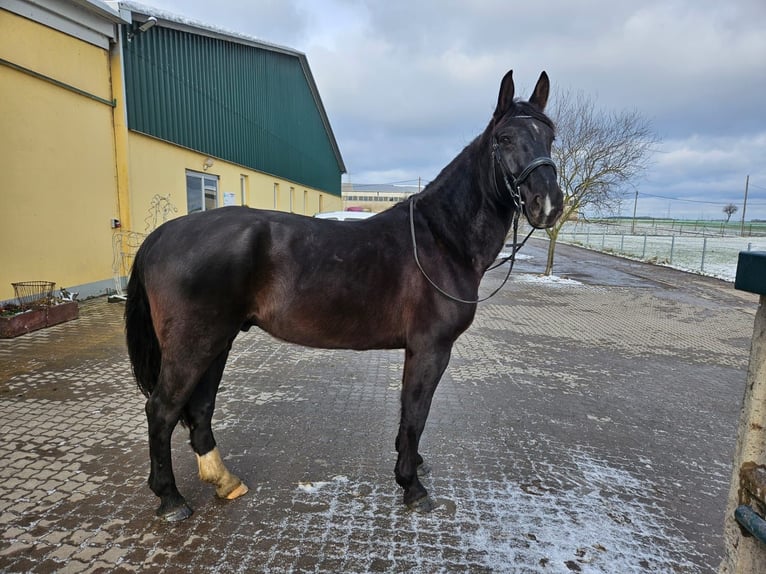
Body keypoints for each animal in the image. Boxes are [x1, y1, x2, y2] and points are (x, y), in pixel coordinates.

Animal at [126, 70, 568, 524]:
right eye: (505, 138)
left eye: (550, 137)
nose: (549, 204)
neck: (441, 240)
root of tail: (161, 235)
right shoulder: (431, 348)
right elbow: (416, 413)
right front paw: (412, 486)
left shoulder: (418, 349)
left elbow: (411, 413)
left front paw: (411, 465)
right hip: (194, 344)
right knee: (162, 410)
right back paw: (171, 499)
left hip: (218, 341)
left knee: (199, 408)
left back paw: (224, 481)